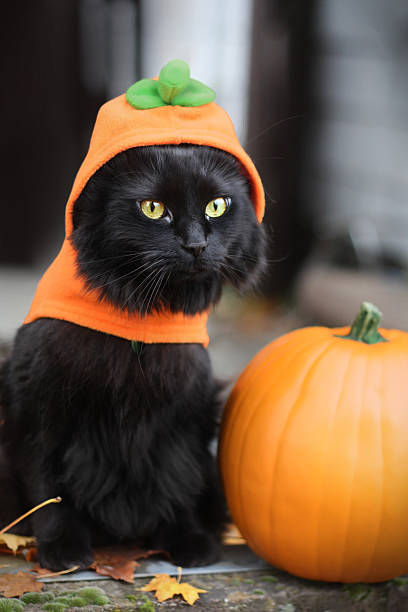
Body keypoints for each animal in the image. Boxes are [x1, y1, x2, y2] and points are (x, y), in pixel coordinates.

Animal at [0, 143, 266, 568]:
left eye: (217, 206)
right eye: (153, 209)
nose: (196, 245)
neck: (139, 321)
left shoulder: (185, 412)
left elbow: (178, 479)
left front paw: (188, 542)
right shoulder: (39, 408)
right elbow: (48, 489)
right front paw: (62, 549)